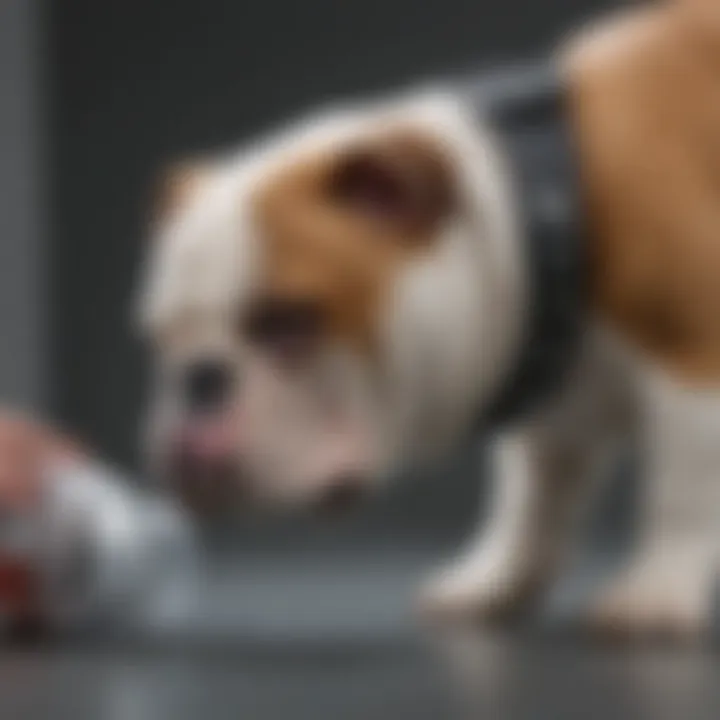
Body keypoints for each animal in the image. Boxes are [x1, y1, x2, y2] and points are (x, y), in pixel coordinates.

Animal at [138, 2, 720, 640]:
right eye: (160, 337)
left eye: (290, 320)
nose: (198, 377)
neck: (542, 212)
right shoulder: (552, 405)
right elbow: (531, 500)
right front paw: (494, 582)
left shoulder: (692, 367)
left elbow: (681, 490)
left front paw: (656, 590)